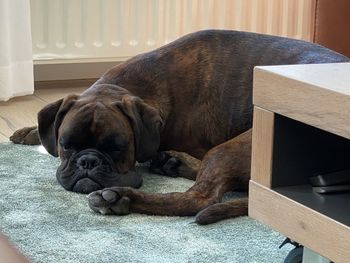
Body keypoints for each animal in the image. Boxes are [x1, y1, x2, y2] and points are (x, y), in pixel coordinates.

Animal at [10, 30, 348, 225]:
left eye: (117, 148)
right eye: (66, 145)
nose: (88, 162)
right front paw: (31, 132)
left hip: (238, 145)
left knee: (200, 197)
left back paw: (120, 198)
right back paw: (172, 162)